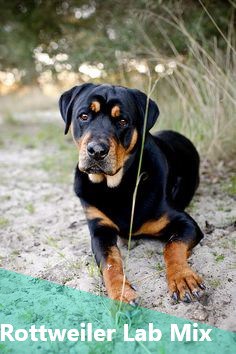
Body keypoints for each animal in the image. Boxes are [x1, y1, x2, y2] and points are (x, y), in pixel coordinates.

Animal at [58, 83, 205, 304]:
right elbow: (110, 263)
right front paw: (122, 293)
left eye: (122, 121)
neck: (117, 186)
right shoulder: (100, 230)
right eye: (83, 116)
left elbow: (172, 246)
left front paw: (182, 277)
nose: (97, 151)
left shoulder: (185, 223)